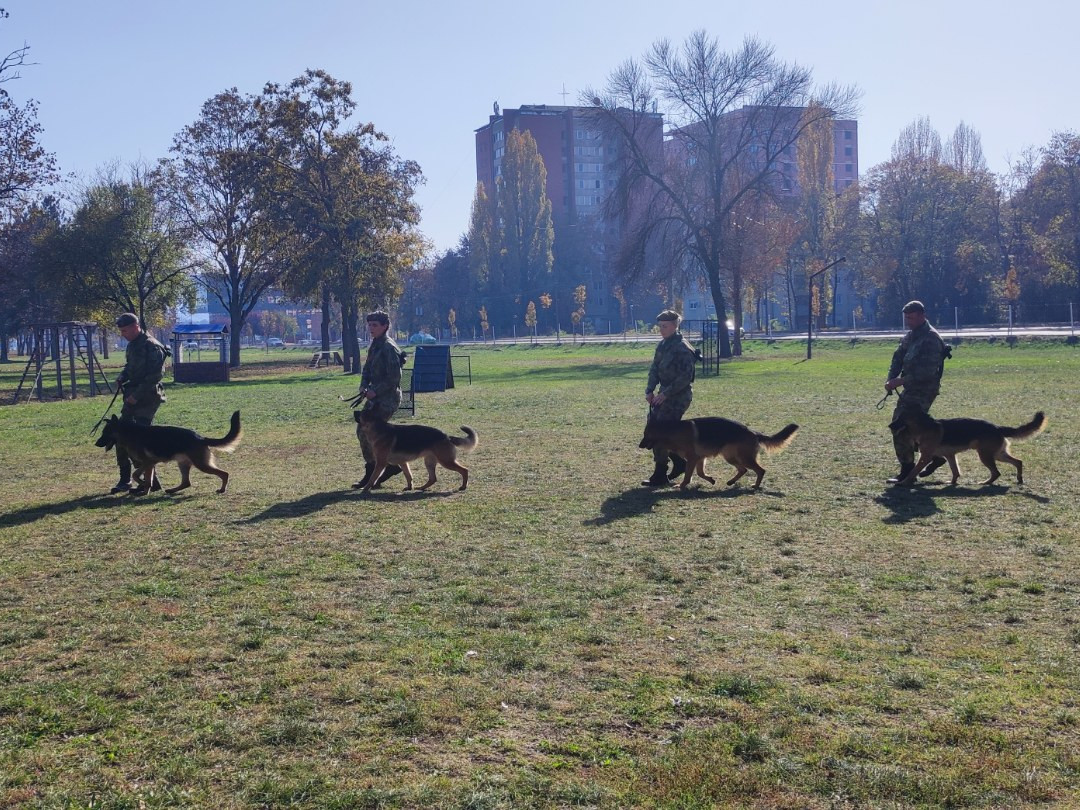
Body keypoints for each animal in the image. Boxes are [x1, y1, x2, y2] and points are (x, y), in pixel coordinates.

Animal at [95, 412, 243, 494]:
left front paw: (143, 487)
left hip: (201, 465)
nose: (96, 443)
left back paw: (222, 490)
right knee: (186, 483)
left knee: (224, 474)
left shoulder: (148, 463)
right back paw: (171, 490)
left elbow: (139, 476)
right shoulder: (149, 464)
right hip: (183, 464)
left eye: (105, 433)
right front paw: (144, 488)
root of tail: (200, 438)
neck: (129, 433)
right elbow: (142, 476)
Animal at [635, 419, 799, 488]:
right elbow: (700, 473)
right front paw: (711, 480)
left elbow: (688, 475)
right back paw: (731, 482)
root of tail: (753, 432)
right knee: (743, 470)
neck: (670, 432)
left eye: (645, 435)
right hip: (730, 457)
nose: (639, 445)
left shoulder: (693, 458)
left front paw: (681, 485)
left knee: (760, 470)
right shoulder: (700, 458)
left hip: (743, 457)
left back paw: (755, 486)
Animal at [885, 412, 1045, 488]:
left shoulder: (925, 456)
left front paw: (904, 482)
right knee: (1018, 462)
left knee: (997, 472)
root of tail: (997, 427)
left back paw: (985, 483)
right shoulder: (950, 456)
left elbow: (913, 471)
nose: (889, 425)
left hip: (985, 456)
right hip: (998, 455)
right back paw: (1019, 479)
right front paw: (951, 482)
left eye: (900, 418)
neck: (924, 426)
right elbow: (955, 471)